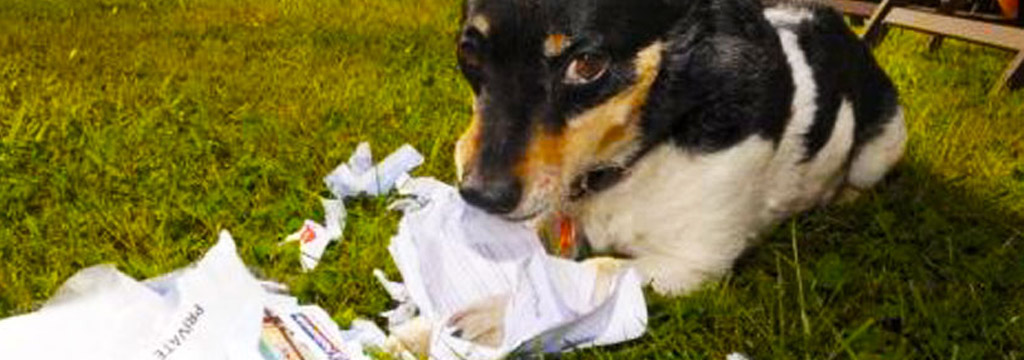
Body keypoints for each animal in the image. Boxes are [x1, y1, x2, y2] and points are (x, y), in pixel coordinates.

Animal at [440, 0, 905, 345]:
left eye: (588, 64)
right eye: (468, 52)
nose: (478, 195)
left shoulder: (690, 265)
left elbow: (599, 271)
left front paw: (504, 316)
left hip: (881, 148)